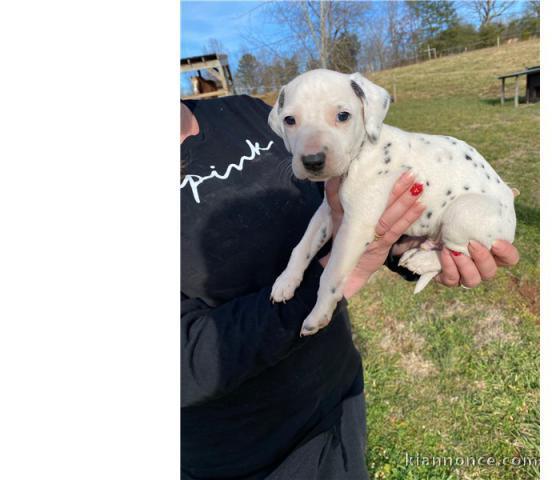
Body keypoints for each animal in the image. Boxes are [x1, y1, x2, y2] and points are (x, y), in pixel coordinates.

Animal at [268, 68, 516, 338]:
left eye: (343, 116)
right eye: (289, 120)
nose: (312, 161)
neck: (361, 154)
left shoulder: (356, 225)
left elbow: (330, 274)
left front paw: (319, 313)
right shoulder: (327, 211)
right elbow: (302, 246)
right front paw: (285, 281)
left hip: (463, 213)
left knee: (459, 252)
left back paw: (422, 260)